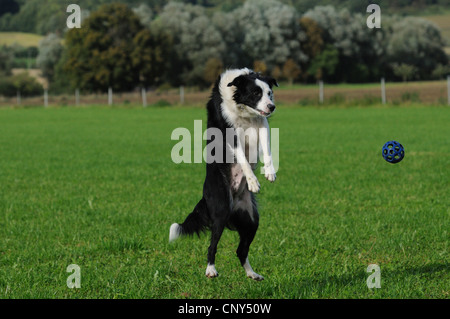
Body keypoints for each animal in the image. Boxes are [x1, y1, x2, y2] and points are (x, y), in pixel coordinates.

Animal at [168, 69, 276, 282]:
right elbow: (242, 158)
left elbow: (267, 149)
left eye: (269, 93)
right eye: (256, 93)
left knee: (241, 251)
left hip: (251, 219)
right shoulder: (230, 134)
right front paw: (252, 181)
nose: (272, 106)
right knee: (212, 246)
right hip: (221, 210)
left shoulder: (262, 123)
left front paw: (269, 172)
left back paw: (252, 274)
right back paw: (211, 270)